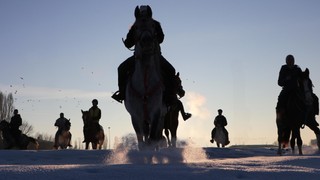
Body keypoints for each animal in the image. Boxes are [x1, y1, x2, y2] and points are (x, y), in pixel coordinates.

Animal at [124, 5, 166, 150]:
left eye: (153, 24)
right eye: (135, 27)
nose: (147, 41)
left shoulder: (156, 113)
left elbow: (152, 139)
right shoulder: (135, 116)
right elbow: (141, 141)